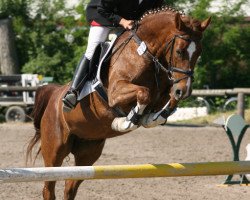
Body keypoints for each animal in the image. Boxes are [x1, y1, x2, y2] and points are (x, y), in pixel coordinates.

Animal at [26, 6, 211, 200]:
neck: (146, 54)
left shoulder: (164, 90)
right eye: (180, 51)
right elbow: (144, 93)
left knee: (70, 186)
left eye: (198, 53)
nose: (184, 91)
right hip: (55, 150)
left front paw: (152, 118)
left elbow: (167, 100)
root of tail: (54, 95)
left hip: (88, 153)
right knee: (48, 187)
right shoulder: (116, 93)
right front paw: (126, 121)